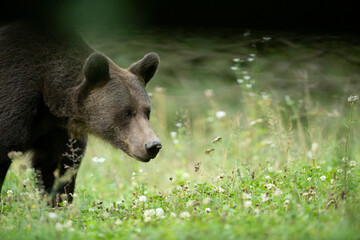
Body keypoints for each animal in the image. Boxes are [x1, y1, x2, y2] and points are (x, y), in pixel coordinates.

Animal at [0, 20, 162, 204]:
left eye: (147, 111)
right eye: (127, 112)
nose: (152, 145)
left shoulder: (61, 132)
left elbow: (57, 169)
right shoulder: (16, 96)